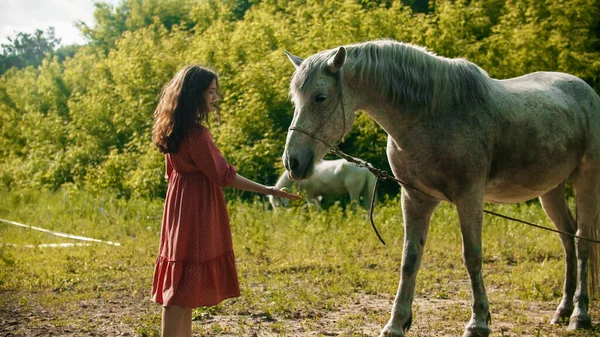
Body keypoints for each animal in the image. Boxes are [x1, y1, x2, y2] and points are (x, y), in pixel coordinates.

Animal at [282, 40, 600, 336]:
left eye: (320, 97)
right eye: (295, 100)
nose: (292, 162)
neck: (433, 114)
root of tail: (587, 93)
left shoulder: (469, 197)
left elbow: (472, 256)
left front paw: (478, 322)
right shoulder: (415, 198)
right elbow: (410, 259)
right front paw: (396, 323)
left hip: (586, 179)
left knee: (582, 241)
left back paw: (579, 315)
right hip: (551, 189)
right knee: (567, 238)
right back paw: (563, 310)